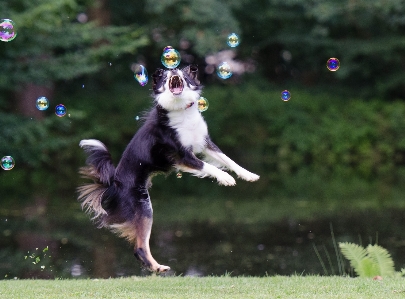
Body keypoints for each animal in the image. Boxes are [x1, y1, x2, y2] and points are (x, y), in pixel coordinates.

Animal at [77, 65, 258, 274]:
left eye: (183, 73)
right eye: (164, 76)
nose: (173, 71)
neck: (181, 109)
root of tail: (113, 183)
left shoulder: (204, 143)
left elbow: (228, 160)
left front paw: (249, 175)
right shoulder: (182, 156)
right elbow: (209, 166)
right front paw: (226, 178)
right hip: (143, 207)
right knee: (140, 247)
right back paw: (158, 267)